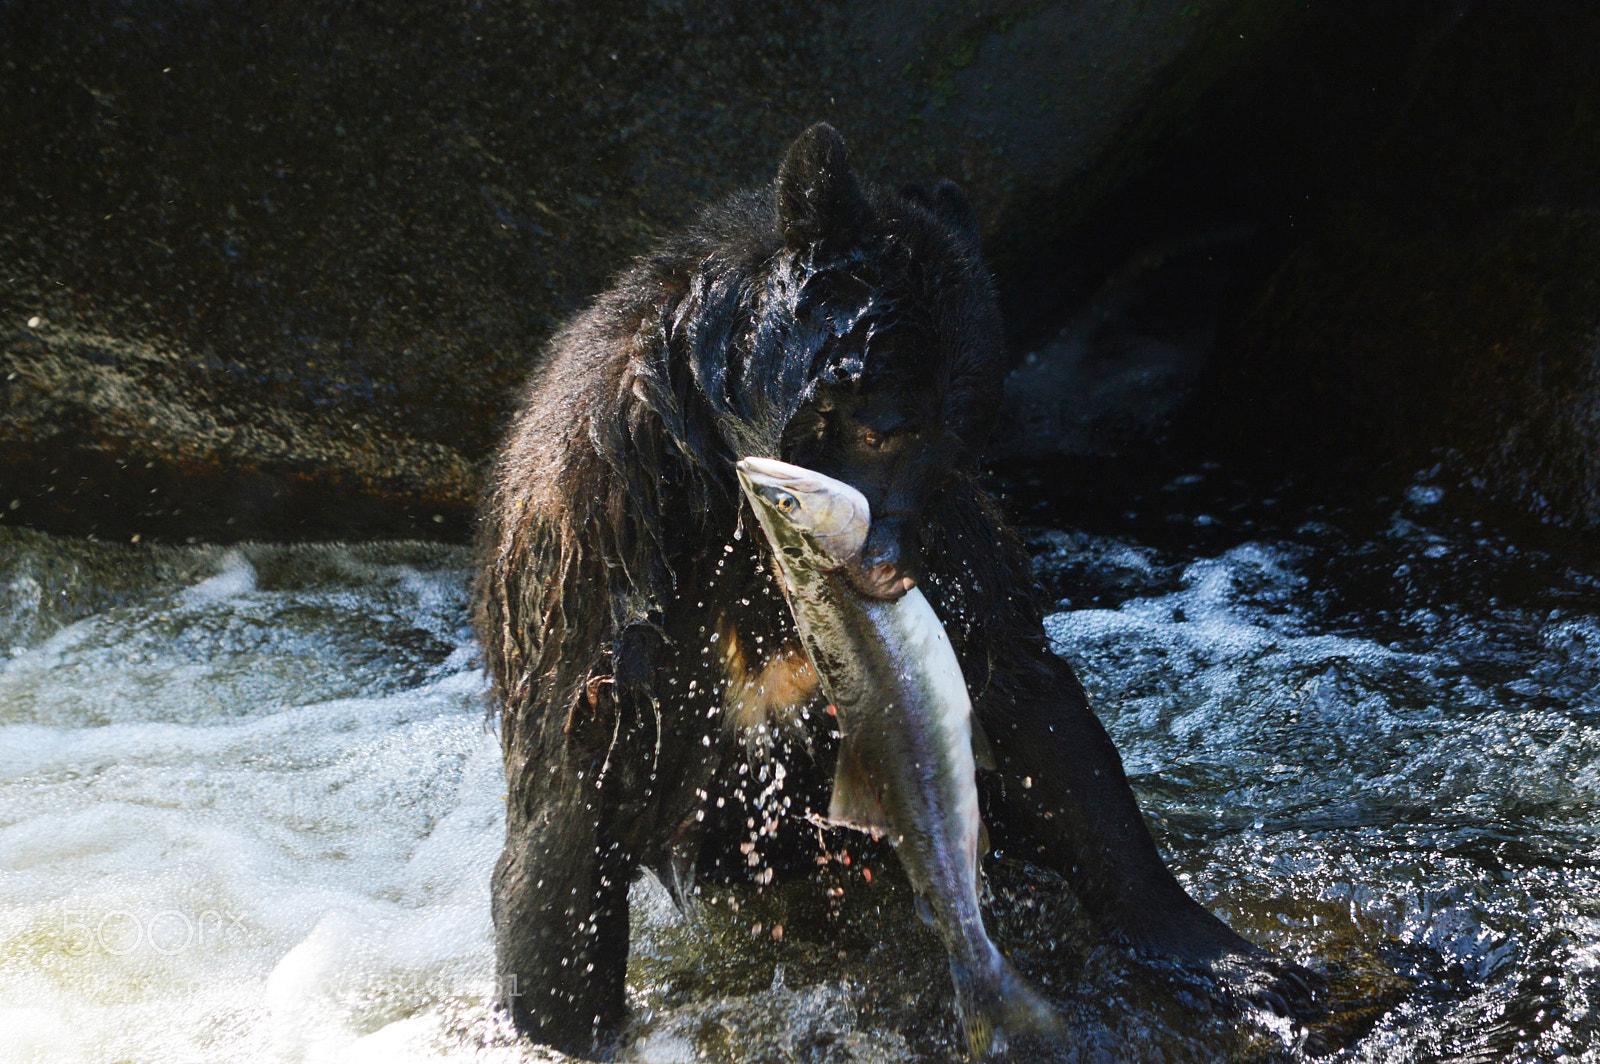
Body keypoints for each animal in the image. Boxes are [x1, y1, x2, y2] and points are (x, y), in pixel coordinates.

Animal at [473, 123, 1315, 1055]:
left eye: (960, 440)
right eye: (883, 425)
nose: (885, 568)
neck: (731, 518)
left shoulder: (961, 555)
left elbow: (1040, 724)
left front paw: (1245, 964)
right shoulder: (602, 581)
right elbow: (565, 840)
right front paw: (561, 1018)